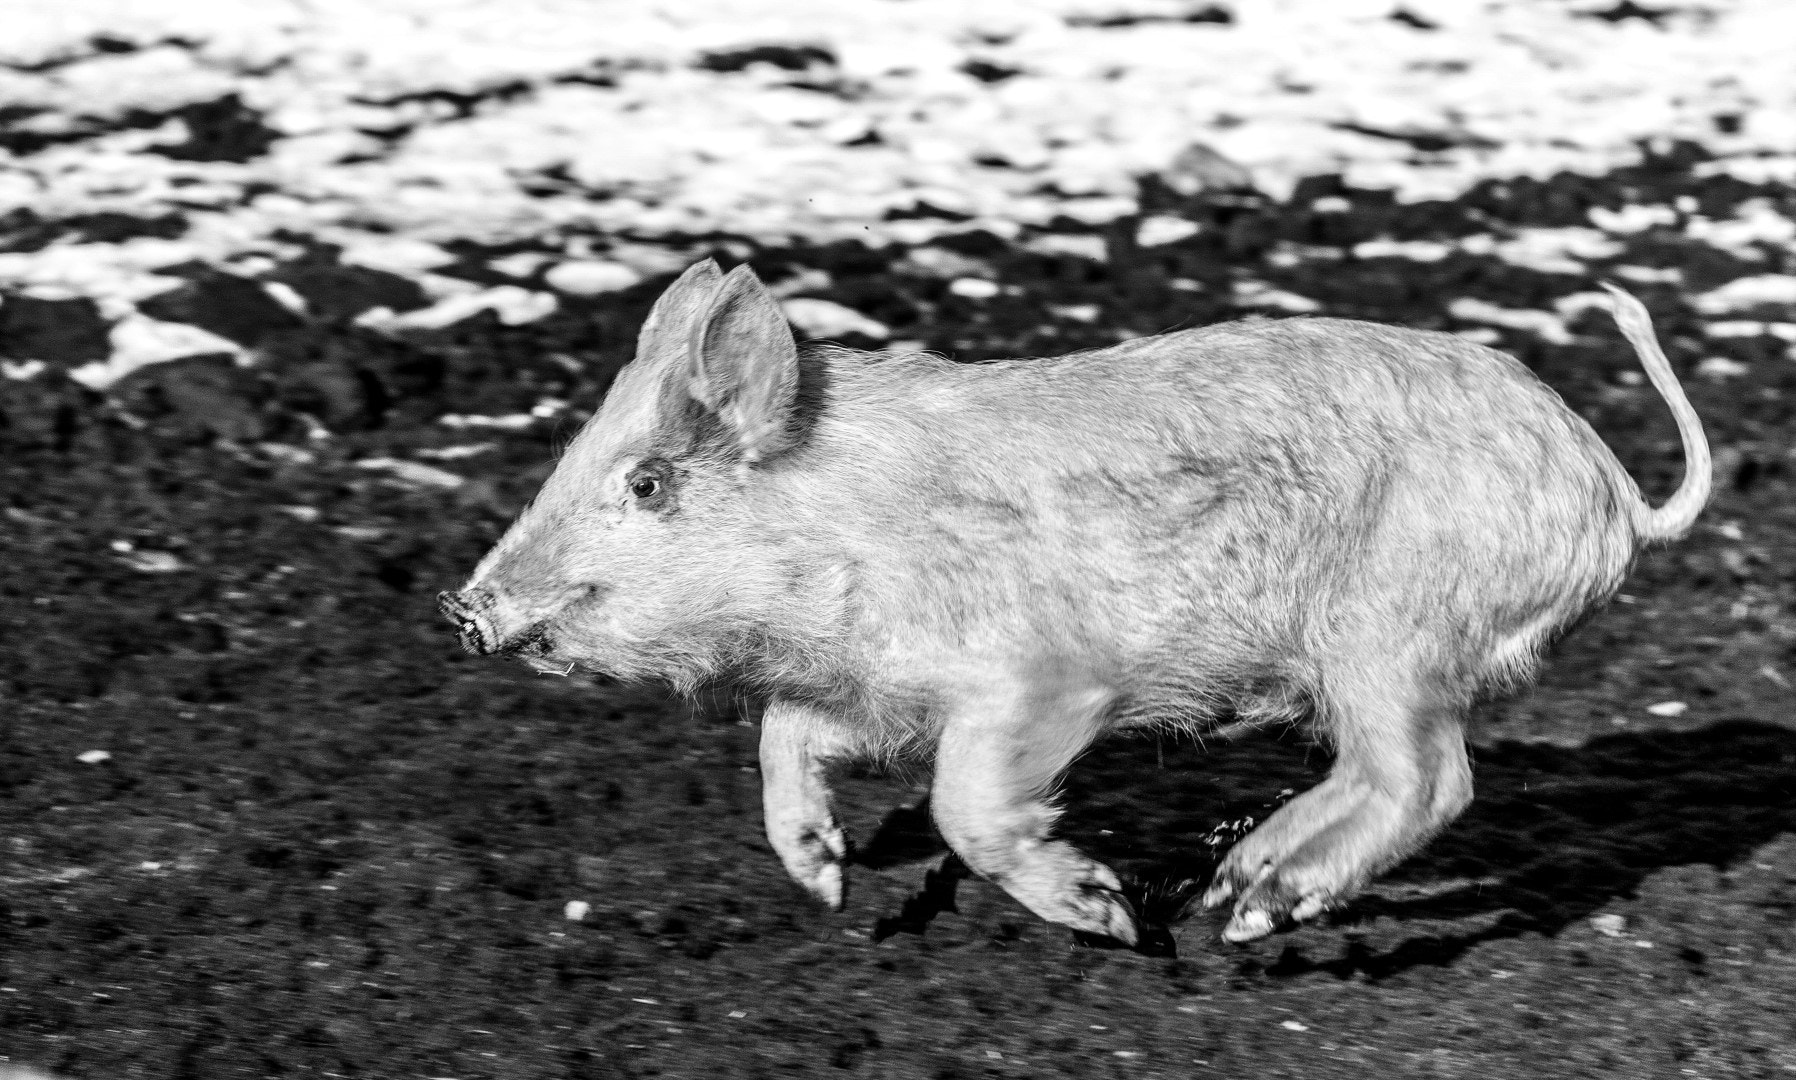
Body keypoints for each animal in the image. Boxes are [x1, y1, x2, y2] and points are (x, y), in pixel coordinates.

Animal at [440, 259, 1709, 945]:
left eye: (647, 483)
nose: (465, 609)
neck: (838, 532)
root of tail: (1608, 490)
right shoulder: (869, 692)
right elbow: (782, 736)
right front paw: (827, 884)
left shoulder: (1041, 681)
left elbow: (964, 804)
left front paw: (1107, 913)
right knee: (1377, 775)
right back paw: (1228, 882)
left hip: (1392, 635)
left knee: (1431, 781)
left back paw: (1242, 914)